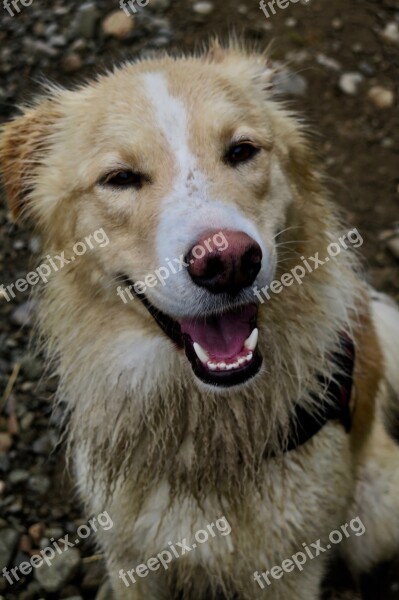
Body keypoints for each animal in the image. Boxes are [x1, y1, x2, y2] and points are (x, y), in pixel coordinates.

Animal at [0, 43, 399, 600]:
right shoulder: (131, 560)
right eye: (120, 178)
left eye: (242, 151)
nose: (228, 260)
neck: (199, 425)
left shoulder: (292, 569)